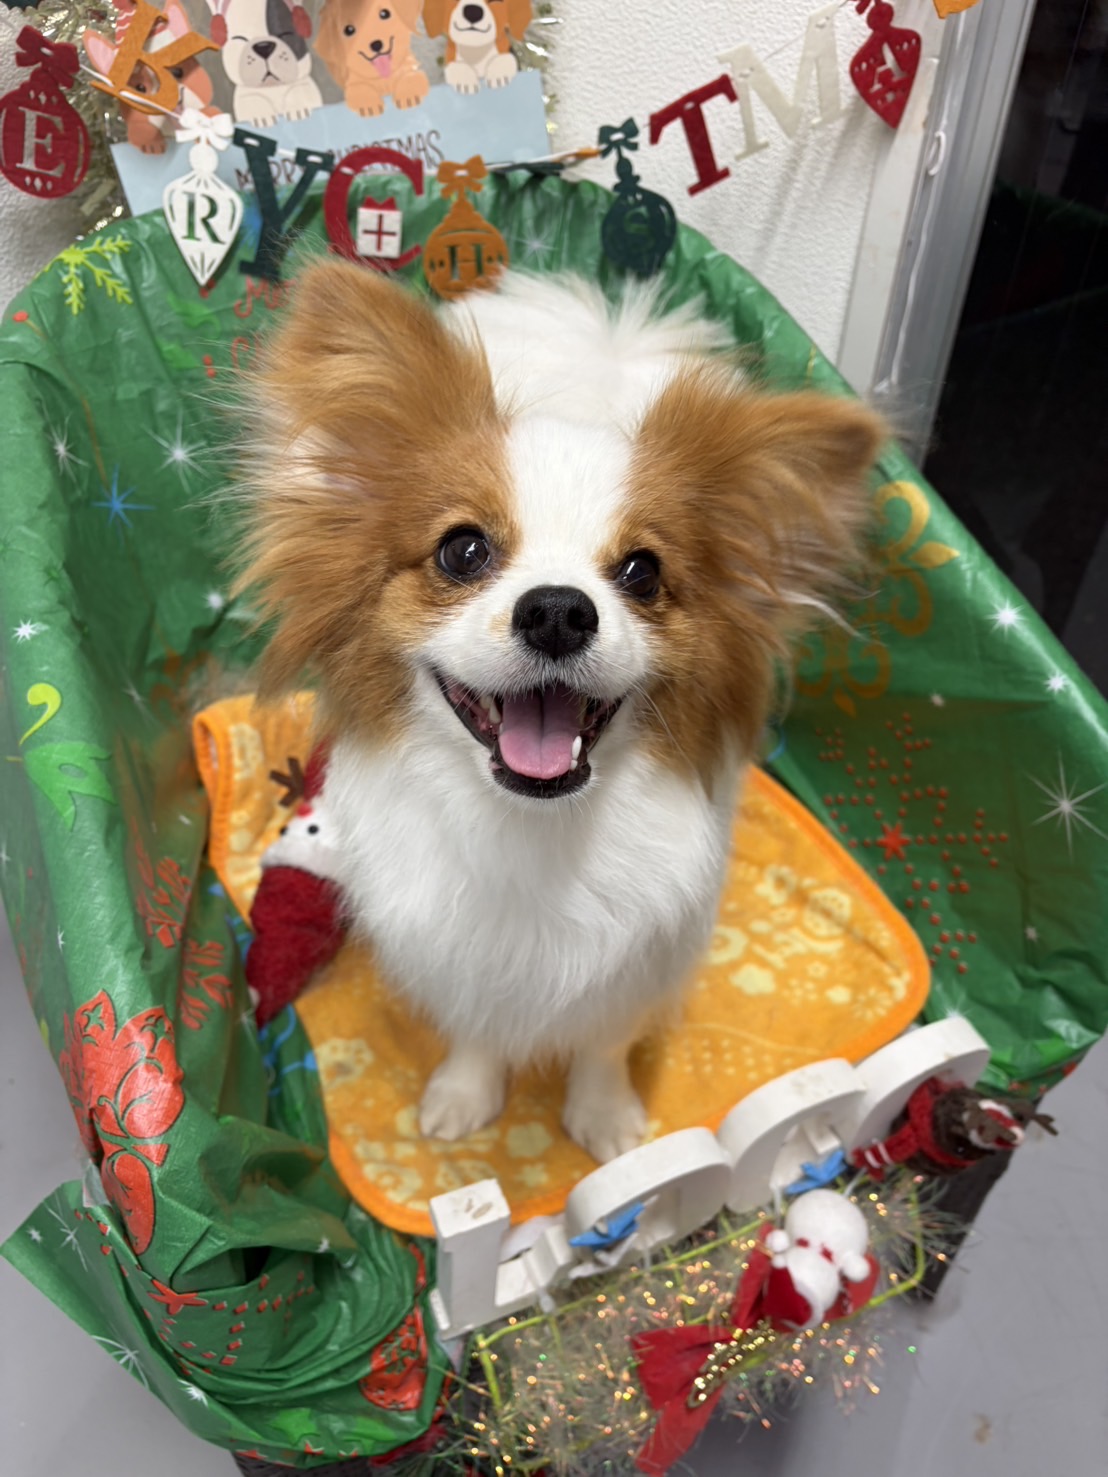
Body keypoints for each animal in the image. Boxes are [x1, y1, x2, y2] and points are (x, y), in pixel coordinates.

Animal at [236, 263, 883, 1165]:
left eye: (643, 571)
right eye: (463, 550)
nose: (557, 611)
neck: (536, 832)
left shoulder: (640, 958)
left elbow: (603, 1042)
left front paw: (604, 1116)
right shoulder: (458, 954)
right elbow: (477, 1029)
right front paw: (465, 1094)